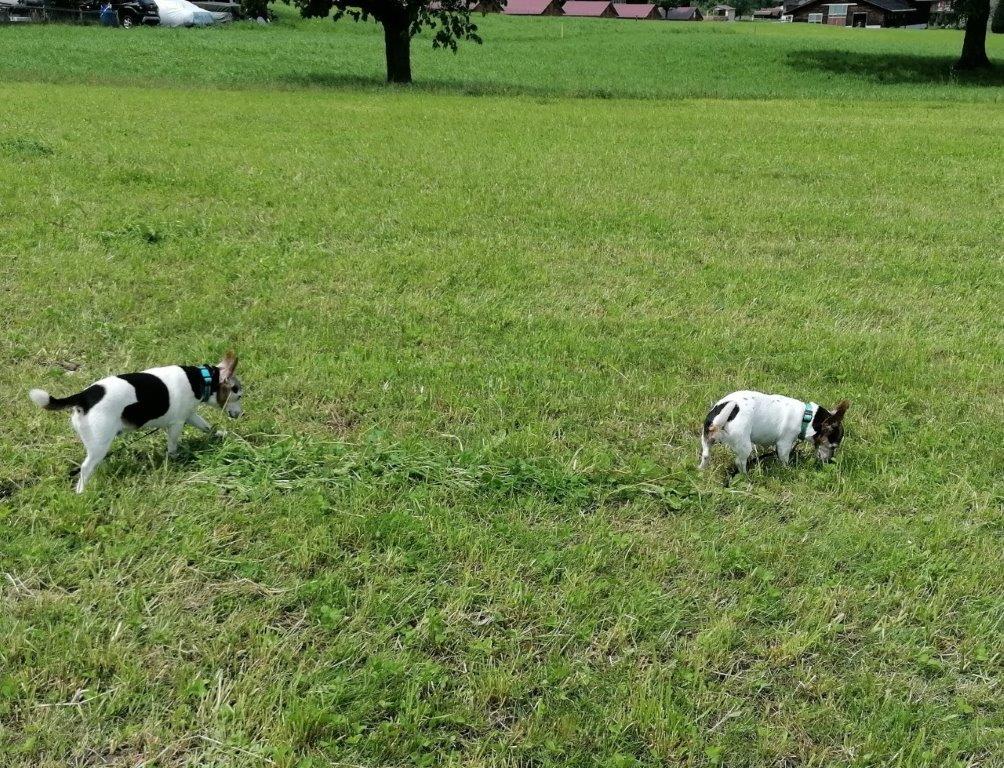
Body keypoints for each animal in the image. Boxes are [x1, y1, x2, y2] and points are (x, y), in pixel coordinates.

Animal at [29, 352, 242, 493]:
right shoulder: (177, 424)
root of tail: (84, 396)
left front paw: (219, 434)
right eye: (239, 395)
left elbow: (206, 427)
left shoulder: (189, 415)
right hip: (100, 443)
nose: (241, 414)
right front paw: (175, 458)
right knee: (85, 468)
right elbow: (173, 445)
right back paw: (82, 492)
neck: (201, 379)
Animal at [699, 390, 849, 475]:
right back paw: (746, 477)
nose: (829, 461)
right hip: (744, 444)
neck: (807, 417)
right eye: (833, 447)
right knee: (739, 462)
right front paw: (788, 470)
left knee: (705, 455)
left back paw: (701, 470)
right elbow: (784, 459)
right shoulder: (784, 444)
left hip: (706, 438)